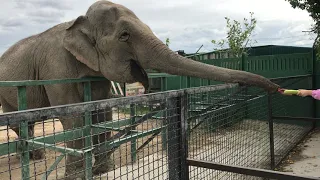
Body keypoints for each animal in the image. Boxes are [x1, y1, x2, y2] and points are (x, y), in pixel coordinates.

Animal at [0, 0, 280, 179]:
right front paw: (76, 177)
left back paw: (34, 156)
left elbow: (102, 115)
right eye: (124, 35)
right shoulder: (56, 67)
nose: (276, 87)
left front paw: (104, 170)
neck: (77, 22)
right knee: (18, 122)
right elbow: (75, 118)